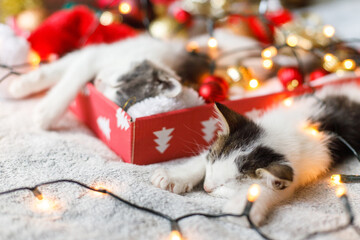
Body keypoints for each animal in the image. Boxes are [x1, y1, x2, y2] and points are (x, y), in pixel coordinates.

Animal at [150, 83, 360, 226]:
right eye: (212, 163)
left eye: (227, 184)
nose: (206, 188)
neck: (282, 135)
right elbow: (200, 159)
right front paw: (173, 176)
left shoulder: (303, 166)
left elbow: (271, 187)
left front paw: (240, 208)